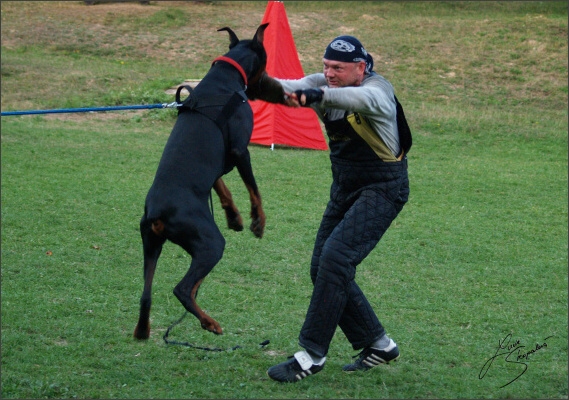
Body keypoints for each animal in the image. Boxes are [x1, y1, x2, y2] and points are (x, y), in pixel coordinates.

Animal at [133, 23, 284, 340]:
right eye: (265, 64)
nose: (273, 87)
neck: (224, 77)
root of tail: (156, 213)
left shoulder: (221, 161)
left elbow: (220, 184)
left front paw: (235, 217)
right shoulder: (239, 150)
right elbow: (254, 189)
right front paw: (257, 221)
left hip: (151, 245)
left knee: (147, 294)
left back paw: (143, 330)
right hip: (209, 243)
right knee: (182, 289)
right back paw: (209, 322)